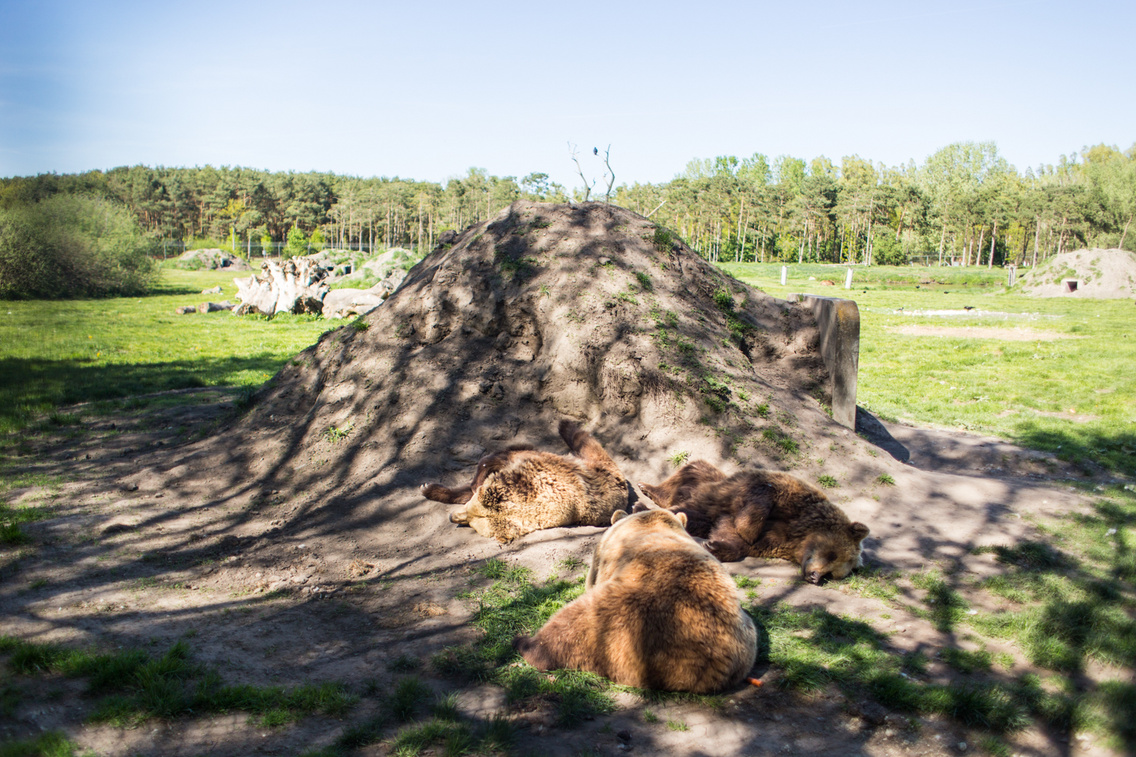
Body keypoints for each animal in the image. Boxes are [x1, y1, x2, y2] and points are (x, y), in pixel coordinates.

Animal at [640, 456, 867, 579]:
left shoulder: (774, 540)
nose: (815, 577)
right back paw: (647, 489)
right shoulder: (783, 494)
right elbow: (759, 501)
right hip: (707, 479)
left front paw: (714, 545)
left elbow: (735, 538)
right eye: (833, 555)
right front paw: (746, 528)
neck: (800, 533)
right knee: (691, 469)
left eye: (833, 574)